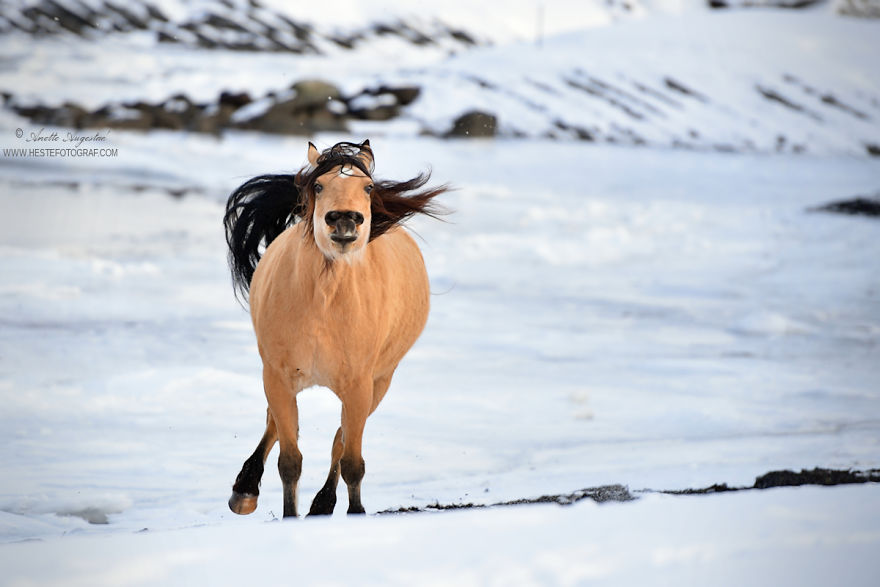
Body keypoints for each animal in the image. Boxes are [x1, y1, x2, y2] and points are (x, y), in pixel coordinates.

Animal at [223, 140, 447, 518]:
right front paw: (287, 515)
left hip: (379, 383)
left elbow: (351, 460)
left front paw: (352, 513)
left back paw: (322, 503)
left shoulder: (359, 387)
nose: (344, 219)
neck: (324, 303)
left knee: (339, 443)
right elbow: (290, 460)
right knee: (277, 425)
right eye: (318, 186)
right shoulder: (277, 376)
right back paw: (245, 490)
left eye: (368, 187)